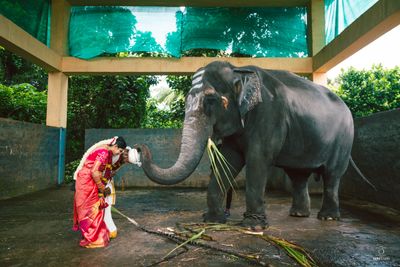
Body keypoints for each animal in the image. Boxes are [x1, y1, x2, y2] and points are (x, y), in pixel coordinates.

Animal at [137, 60, 354, 230]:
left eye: (211, 100)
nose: (139, 147)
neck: (239, 70)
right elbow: (229, 160)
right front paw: (213, 220)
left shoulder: (269, 114)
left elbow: (257, 160)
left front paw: (253, 226)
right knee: (298, 175)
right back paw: (298, 215)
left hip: (344, 140)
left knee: (332, 174)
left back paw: (327, 218)